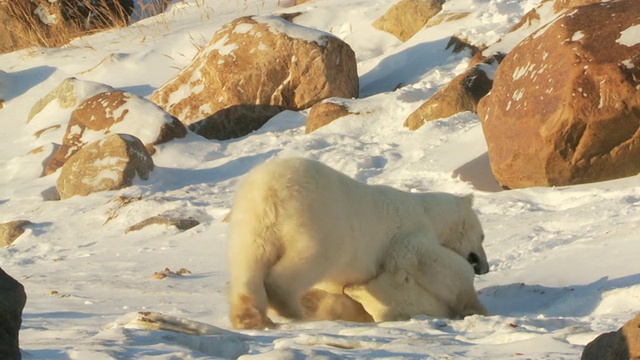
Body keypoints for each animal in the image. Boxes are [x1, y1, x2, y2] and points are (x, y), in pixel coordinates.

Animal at [228, 158, 488, 330]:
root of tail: (270, 190)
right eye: (483, 236)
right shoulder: (407, 233)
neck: (427, 211)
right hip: (319, 220)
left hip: (251, 223)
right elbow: (417, 255)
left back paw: (249, 317)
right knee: (312, 257)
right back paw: (289, 308)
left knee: (248, 263)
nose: (484, 267)